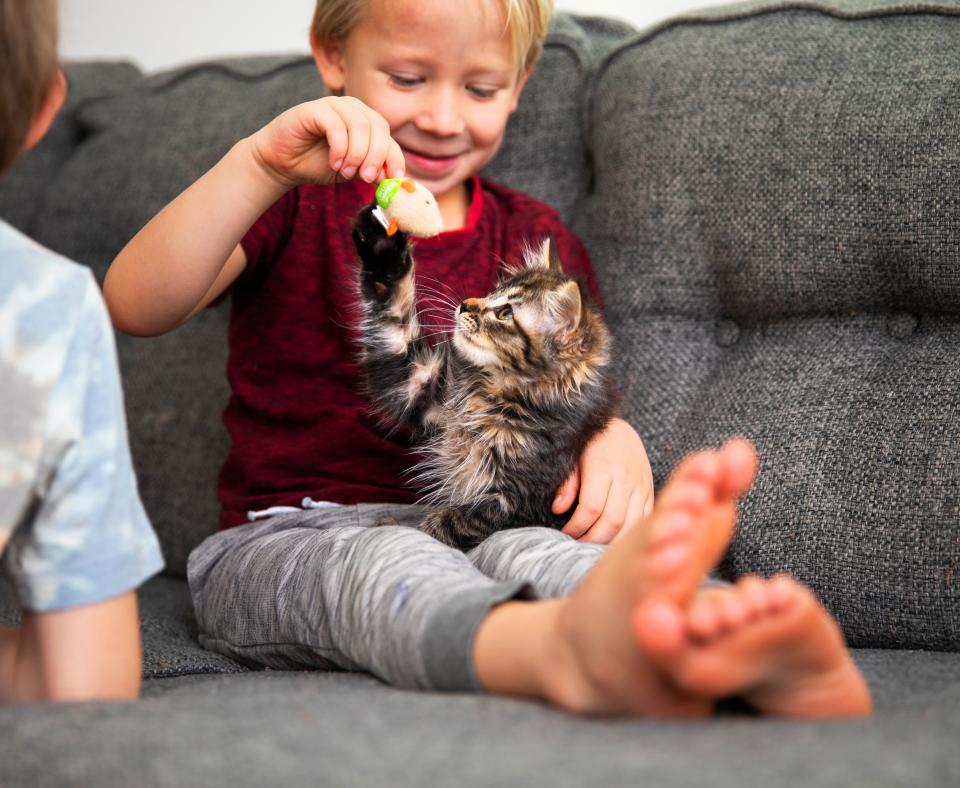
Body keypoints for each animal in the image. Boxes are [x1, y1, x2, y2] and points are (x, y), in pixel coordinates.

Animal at [356, 200, 620, 552]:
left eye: (505, 314)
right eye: (492, 291)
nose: (464, 304)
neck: (491, 393)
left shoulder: (522, 501)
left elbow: (454, 522)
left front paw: (416, 528)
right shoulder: (415, 383)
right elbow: (393, 319)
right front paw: (382, 245)